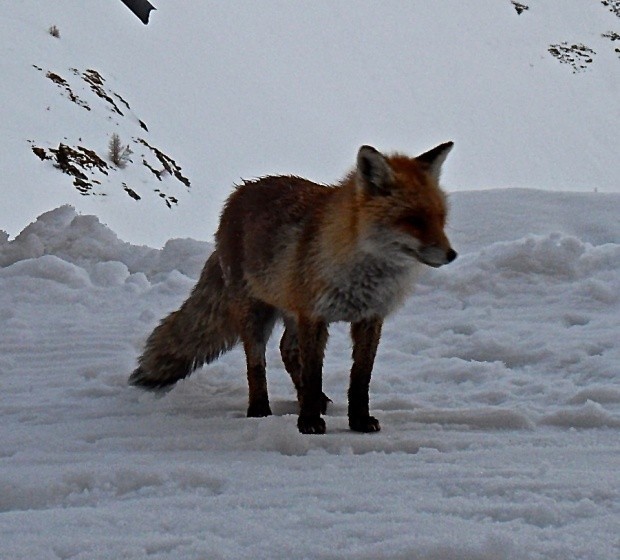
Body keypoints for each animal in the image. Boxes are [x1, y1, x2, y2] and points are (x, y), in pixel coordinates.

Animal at [131, 142, 458, 436]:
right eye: (413, 220)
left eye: (441, 218)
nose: (451, 255)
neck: (360, 273)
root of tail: (240, 191)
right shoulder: (313, 316)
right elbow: (313, 373)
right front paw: (309, 422)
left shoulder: (369, 318)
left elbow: (360, 377)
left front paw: (359, 421)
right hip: (256, 314)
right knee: (257, 363)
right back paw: (260, 409)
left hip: (288, 309)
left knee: (286, 350)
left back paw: (311, 400)